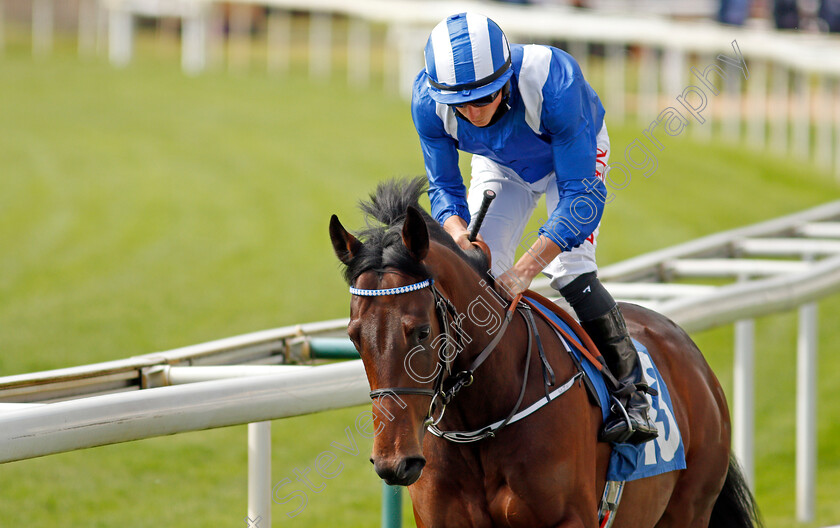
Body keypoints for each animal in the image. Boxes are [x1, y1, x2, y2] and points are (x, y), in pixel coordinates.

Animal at [328, 178, 760, 528]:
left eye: (420, 331)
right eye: (354, 337)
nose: (394, 462)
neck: (482, 420)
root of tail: (684, 345)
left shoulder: (568, 519)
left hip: (690, 508)